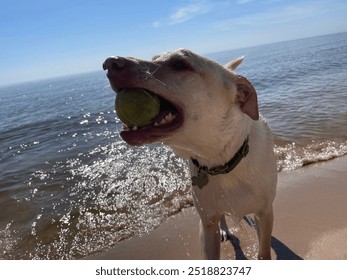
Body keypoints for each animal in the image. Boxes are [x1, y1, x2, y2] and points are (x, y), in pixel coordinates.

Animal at [102, 48, 278, 260]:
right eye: (154, 58)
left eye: (179, 64)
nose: (110, 63)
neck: (221, 159)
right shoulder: (206, 224)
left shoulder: (265, 212)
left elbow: (264, 250)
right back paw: (224, 230)